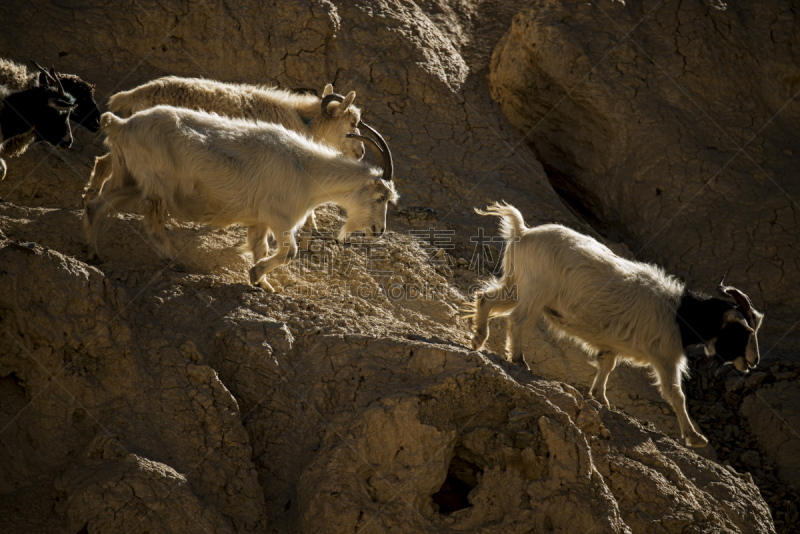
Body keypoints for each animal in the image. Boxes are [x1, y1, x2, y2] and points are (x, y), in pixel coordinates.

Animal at [84, 105, 396, 294]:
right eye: (382, 196)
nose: (379, 230)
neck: (306, 171)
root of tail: (122, 125)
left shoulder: (259, 222)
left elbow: (259, 247)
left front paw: (264, 284)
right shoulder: (279, 217)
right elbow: (289, 252)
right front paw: (256, 274)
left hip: (131, 179)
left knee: (97, 205)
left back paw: (95, 254)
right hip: (155, 184)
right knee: (152, 221)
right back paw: (175, 261)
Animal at [466, 203, 764, 450]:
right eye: (746, 331)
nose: (754, 361)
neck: (680, 313)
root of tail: (523, 232)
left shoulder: (611, 347)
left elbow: (606, 366)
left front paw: (599, 397)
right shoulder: (666, 356)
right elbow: (676, 394)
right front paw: (694, 437)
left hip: (517, 285)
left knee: (486, 299)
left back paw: (478, 339)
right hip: (537, 290)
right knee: (517, 320)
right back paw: (518, 359)